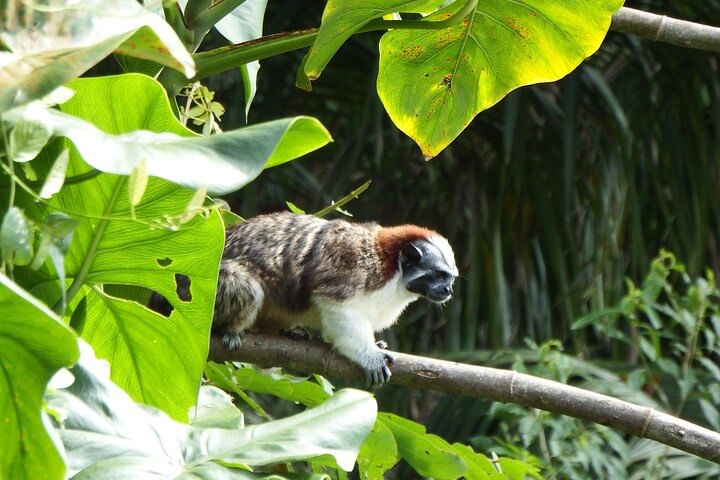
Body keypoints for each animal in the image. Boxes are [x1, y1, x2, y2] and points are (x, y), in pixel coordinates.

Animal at [213, 211, 458, 387]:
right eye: (439, 275)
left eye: (451, 278)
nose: (447, 290)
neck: (393, 269)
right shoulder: (352, 265)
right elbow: (338, 307)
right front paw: (369, 355)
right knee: (243, 283)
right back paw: (230, 329)